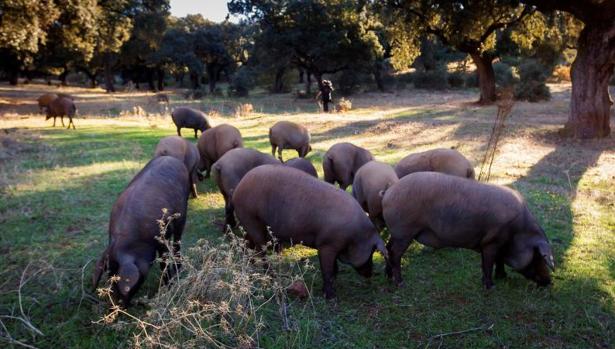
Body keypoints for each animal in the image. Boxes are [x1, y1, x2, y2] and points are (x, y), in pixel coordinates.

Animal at [92, 155, 190, 304]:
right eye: (109, 276)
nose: (117, 305)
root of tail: (171, 158)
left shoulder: (163, 237)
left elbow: (163, 262)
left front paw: (167, 287)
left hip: (183, 211)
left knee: (177, 240)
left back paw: (178, 268)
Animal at [233, 164, 388, 298]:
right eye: (372, 252)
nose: (370, 274)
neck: (355, 236)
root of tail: (239, 187)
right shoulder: (326, 245)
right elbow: (327, 269)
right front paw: (331, 296)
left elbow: (334, 268)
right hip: (252, 219)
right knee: (261, 250)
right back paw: (271, 276)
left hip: (249, 224)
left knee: (247, 243)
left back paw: (250, 264)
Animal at [382, 171, 556, 288]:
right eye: (539, 256)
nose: (549, 282)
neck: (518, 232)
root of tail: (388, 192)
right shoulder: (491, 242)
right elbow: (489, 263)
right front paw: (490, 286)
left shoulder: (495, 244)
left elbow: (496, 261)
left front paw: (503, 278)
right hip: (404, 232)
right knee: (395, 253)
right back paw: (400, 283)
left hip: (397, 233)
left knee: (388, 248)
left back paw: (388, 277)